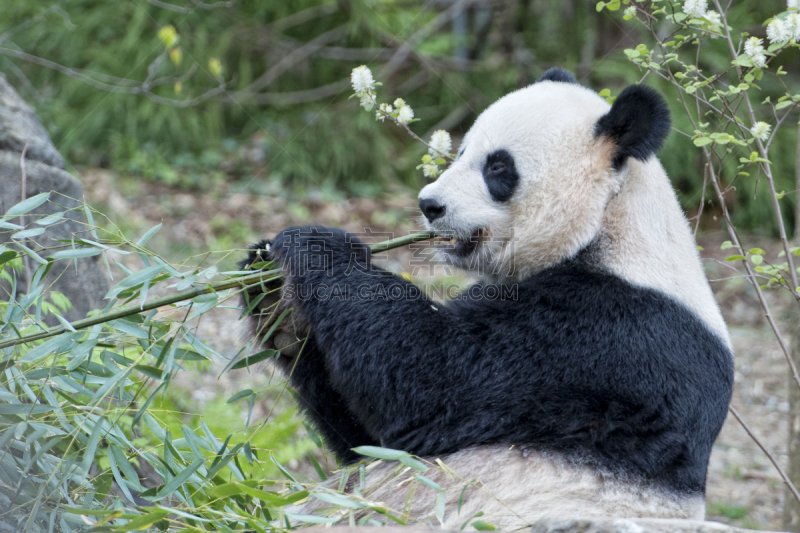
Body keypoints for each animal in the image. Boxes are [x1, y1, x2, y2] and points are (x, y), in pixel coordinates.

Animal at [241, 67, 736, 528]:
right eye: (461, 152)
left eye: (498, 167)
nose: (430, 205)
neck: (610, 222)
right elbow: (371, 439)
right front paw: (273, 299)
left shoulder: (612, 335)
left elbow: (429, 384)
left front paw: (317, 247)